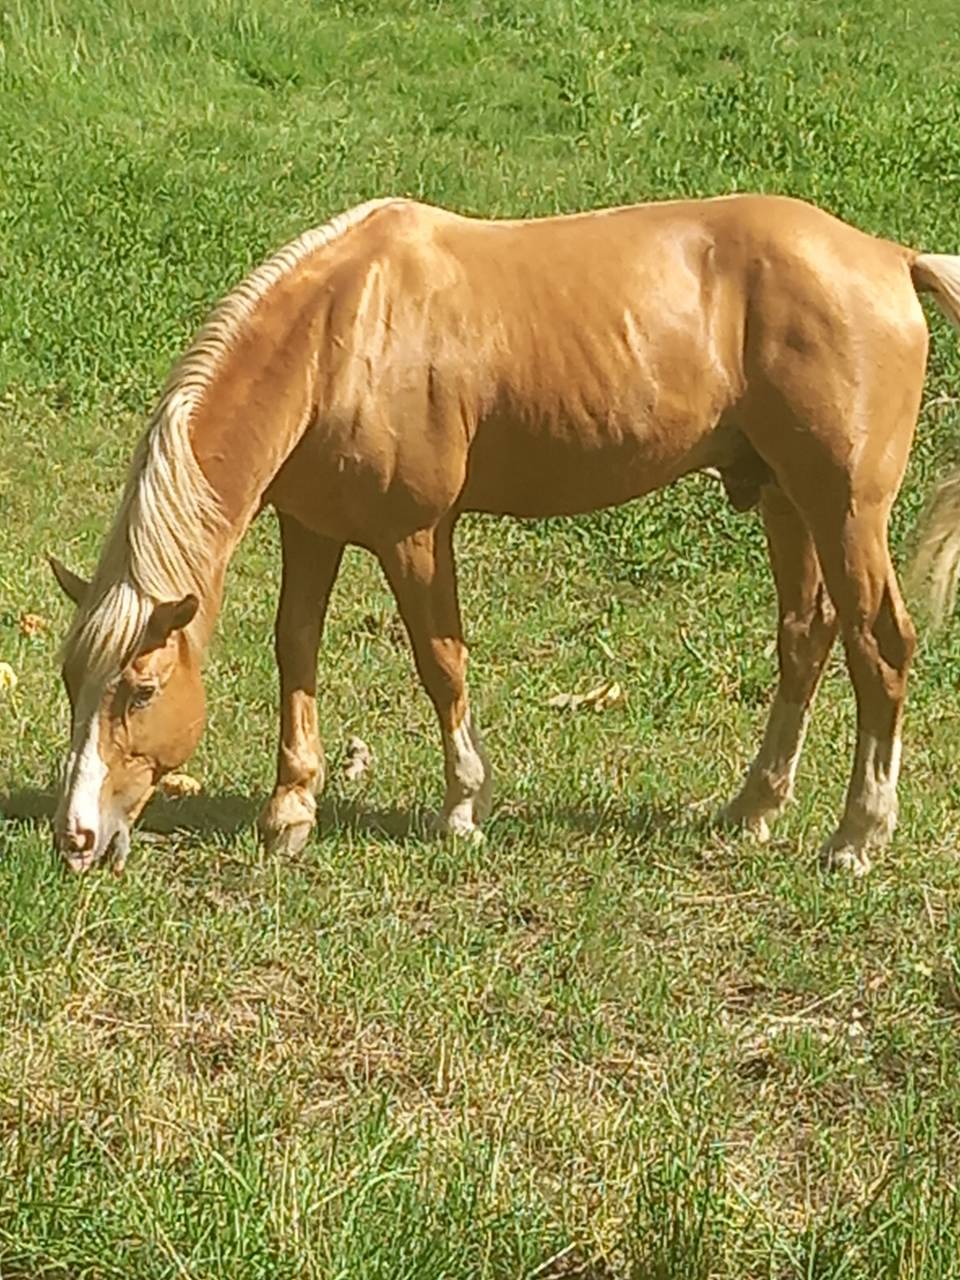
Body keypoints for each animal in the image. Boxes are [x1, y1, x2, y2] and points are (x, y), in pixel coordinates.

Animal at [48, 193, 960, 878]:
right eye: (70, 682)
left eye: (140, 690)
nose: (77, 837)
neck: (341, 337)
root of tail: (889, 258)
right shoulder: (311, 527)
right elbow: (295, 649)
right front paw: (289, 812)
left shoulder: (416, 533)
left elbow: (439, 661)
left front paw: (463, 807)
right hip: (784, 500)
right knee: (806, 638)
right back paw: (752, 808)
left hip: (845, 511)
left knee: (880, 645)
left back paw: (857, 837)